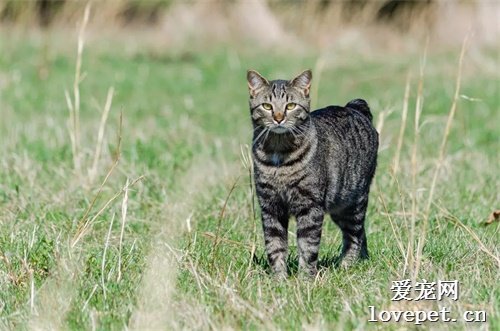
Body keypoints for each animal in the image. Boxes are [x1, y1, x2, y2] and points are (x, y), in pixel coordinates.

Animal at [246, 69, 378, 278]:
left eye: (290, 105)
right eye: (267, 106)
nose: (278, 118)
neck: (279, 154)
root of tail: (354, 106)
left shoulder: (310, 206)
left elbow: (308, 247)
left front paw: (305, 279)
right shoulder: (270, 207)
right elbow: (275, 246)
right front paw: (279, 279)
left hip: (353, 202)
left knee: (355, 236)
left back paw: (346, 265)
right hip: (339, 206)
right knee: (361, 234)